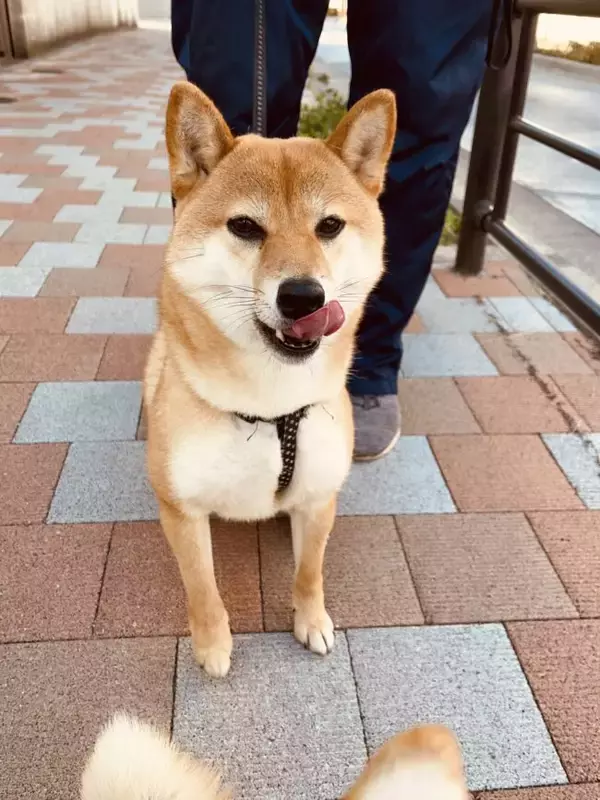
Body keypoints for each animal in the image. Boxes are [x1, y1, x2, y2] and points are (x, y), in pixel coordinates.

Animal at [144, 81, 396, 677]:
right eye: (244, 227)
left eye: (329, 226)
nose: (304, 297)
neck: (270, 406)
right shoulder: (184, 512)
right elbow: (202, 588)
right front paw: (213, 645)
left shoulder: (318, 498)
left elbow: (310, 571)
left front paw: (311, 621)